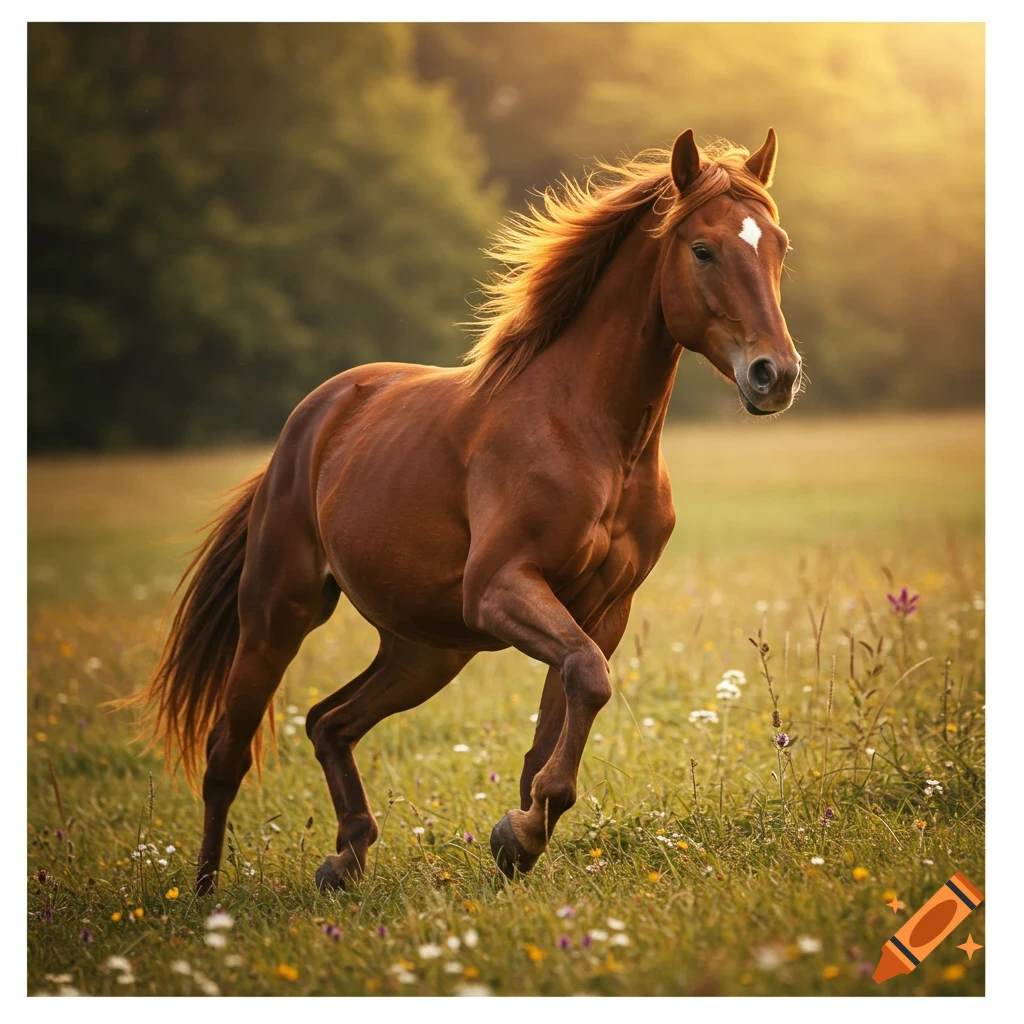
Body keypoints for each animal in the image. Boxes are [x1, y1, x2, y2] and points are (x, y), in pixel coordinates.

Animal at [123, 127, 802, 893]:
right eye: (703, 249)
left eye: (779, 246)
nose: (775, 375)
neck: (591, 433)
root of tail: (311, 421)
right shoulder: (501, 588)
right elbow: (587, 681)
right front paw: (524, 832)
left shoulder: (601, 610)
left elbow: (563, 713)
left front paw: (520, 839)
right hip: (278, 614)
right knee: (227, 753)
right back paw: (207, 896)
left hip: (426, 650)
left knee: (329, 721)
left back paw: (346, 858)